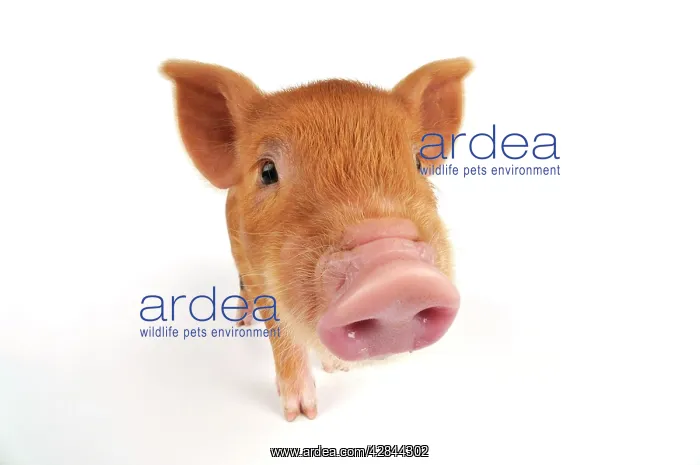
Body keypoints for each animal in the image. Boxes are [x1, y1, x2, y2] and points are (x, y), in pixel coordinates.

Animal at [160, 57, 473, 421]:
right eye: (267, 171)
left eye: (420, 163)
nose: (395, 270)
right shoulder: (265, 282)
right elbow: (283, 336)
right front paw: (300, 415)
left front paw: (339, 369)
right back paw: (241, 323)